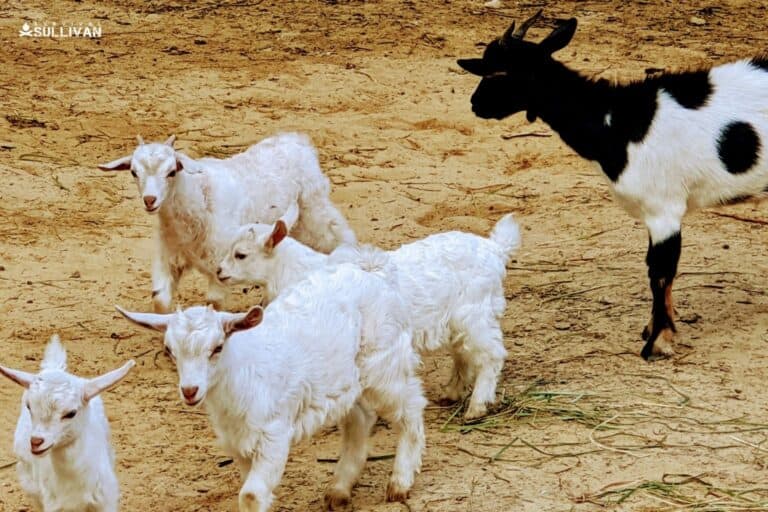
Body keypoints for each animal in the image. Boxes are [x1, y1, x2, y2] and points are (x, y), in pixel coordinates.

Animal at [98, 132, 356, 313]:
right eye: (133, 172)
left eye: (172, 171)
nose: (150, 200)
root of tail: (297, 140)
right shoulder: (169, 256)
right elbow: (160, 300)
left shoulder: (220, 263)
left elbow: (213, 302)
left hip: (315, 209)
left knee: (339, 234)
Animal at [115, 262, 426, 512]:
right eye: (170, 350)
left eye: (217, 347)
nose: (190, 391)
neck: (242, 374)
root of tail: (377, 277)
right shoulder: (240, 446)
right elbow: (249, 489)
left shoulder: (274, 435)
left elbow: (251, 496)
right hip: (347, 382)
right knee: (359, 420)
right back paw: (339, 490)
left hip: (384, 363)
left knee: (411, 407)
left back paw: (400, 483)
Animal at [217, 214, 520, 419]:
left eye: (241, 254)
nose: (219, 271)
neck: (300, 270)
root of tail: (495, 249)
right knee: (464, 354)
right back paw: (451, 393)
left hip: (475, 313)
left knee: (492, 355)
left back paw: (477, 406)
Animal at [457, 10, 768, 360]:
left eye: (500, 72)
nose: (475, 103)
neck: (616, 124)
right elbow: (656, 270)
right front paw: (655, 329)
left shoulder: (664, 209)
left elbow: (660, 273)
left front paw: (658, 342)